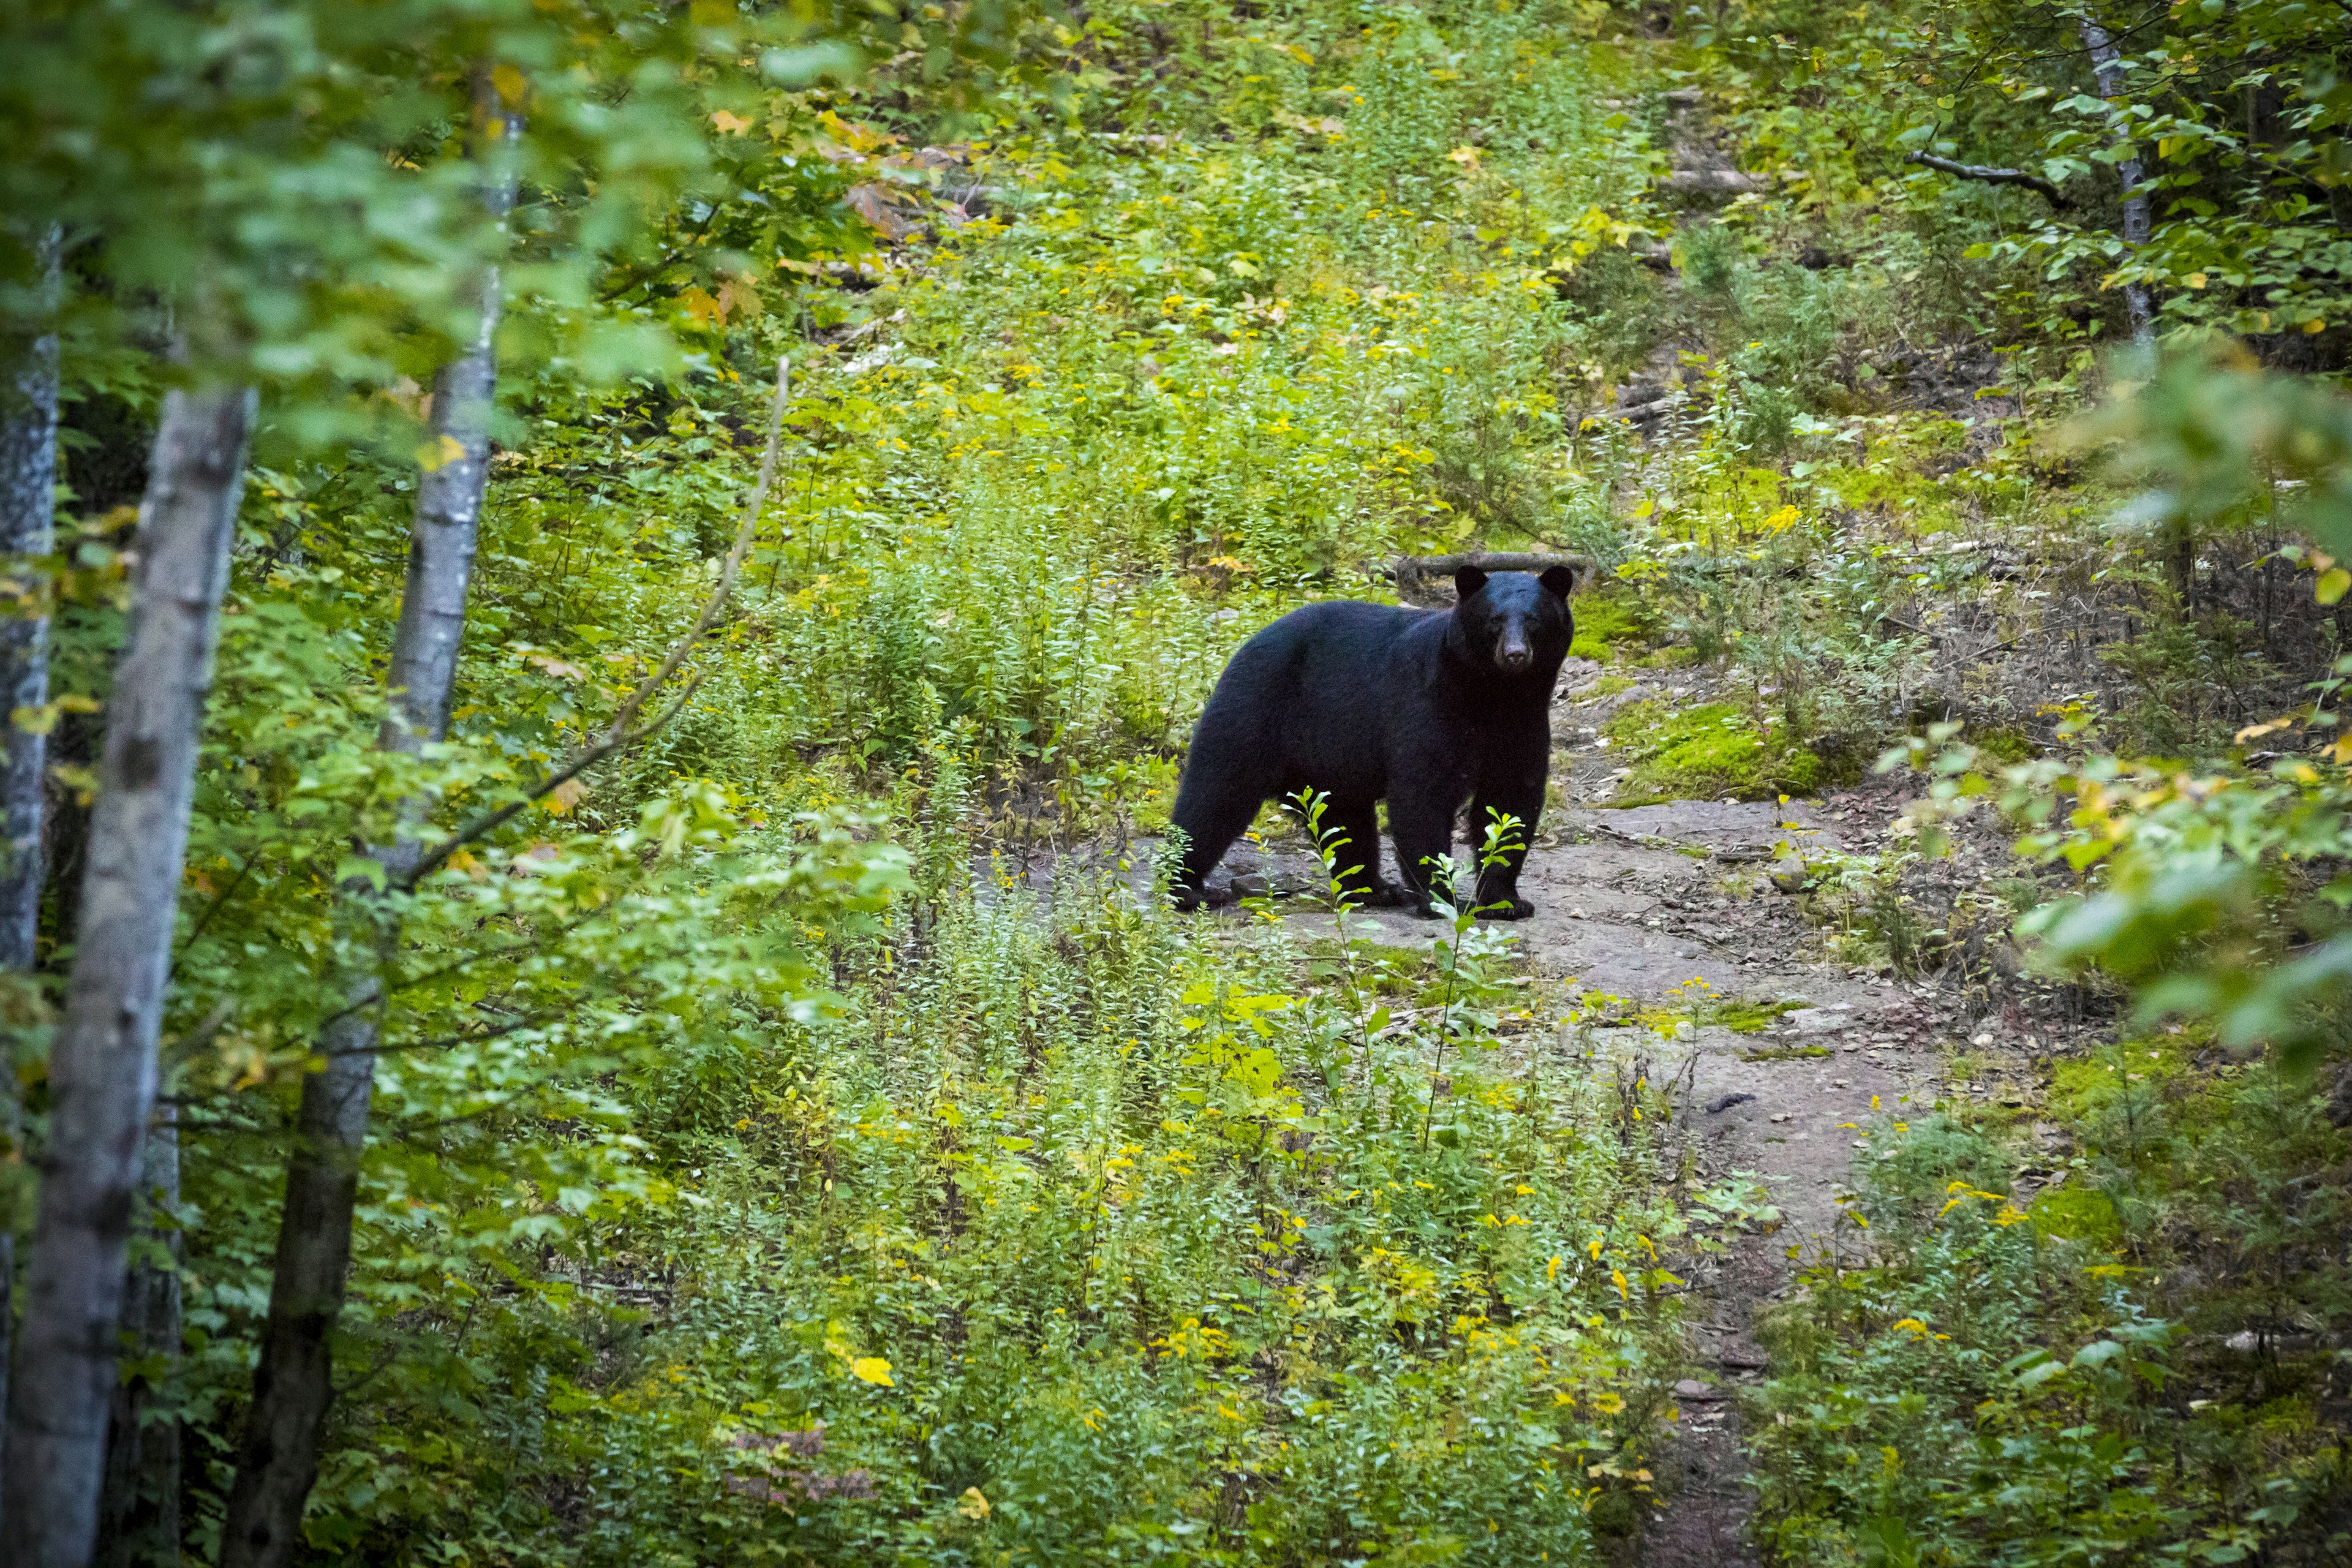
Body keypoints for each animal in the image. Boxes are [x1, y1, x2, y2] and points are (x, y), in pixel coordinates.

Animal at [1161, 571, 1571, 921]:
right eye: (1495, 620)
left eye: (1534, 620)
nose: (1515, 654)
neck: (1493, 695)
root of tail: (1245, 646)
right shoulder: (1428, 705)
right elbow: (1423, 794)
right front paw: (1442, 898)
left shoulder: (1524, 724)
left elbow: (1510, 800)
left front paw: (1506, 902)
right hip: (1254, 710)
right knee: (1215, 797)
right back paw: (1188, 890)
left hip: (1328, 757)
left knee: (1342, 818)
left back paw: (1374, 889)